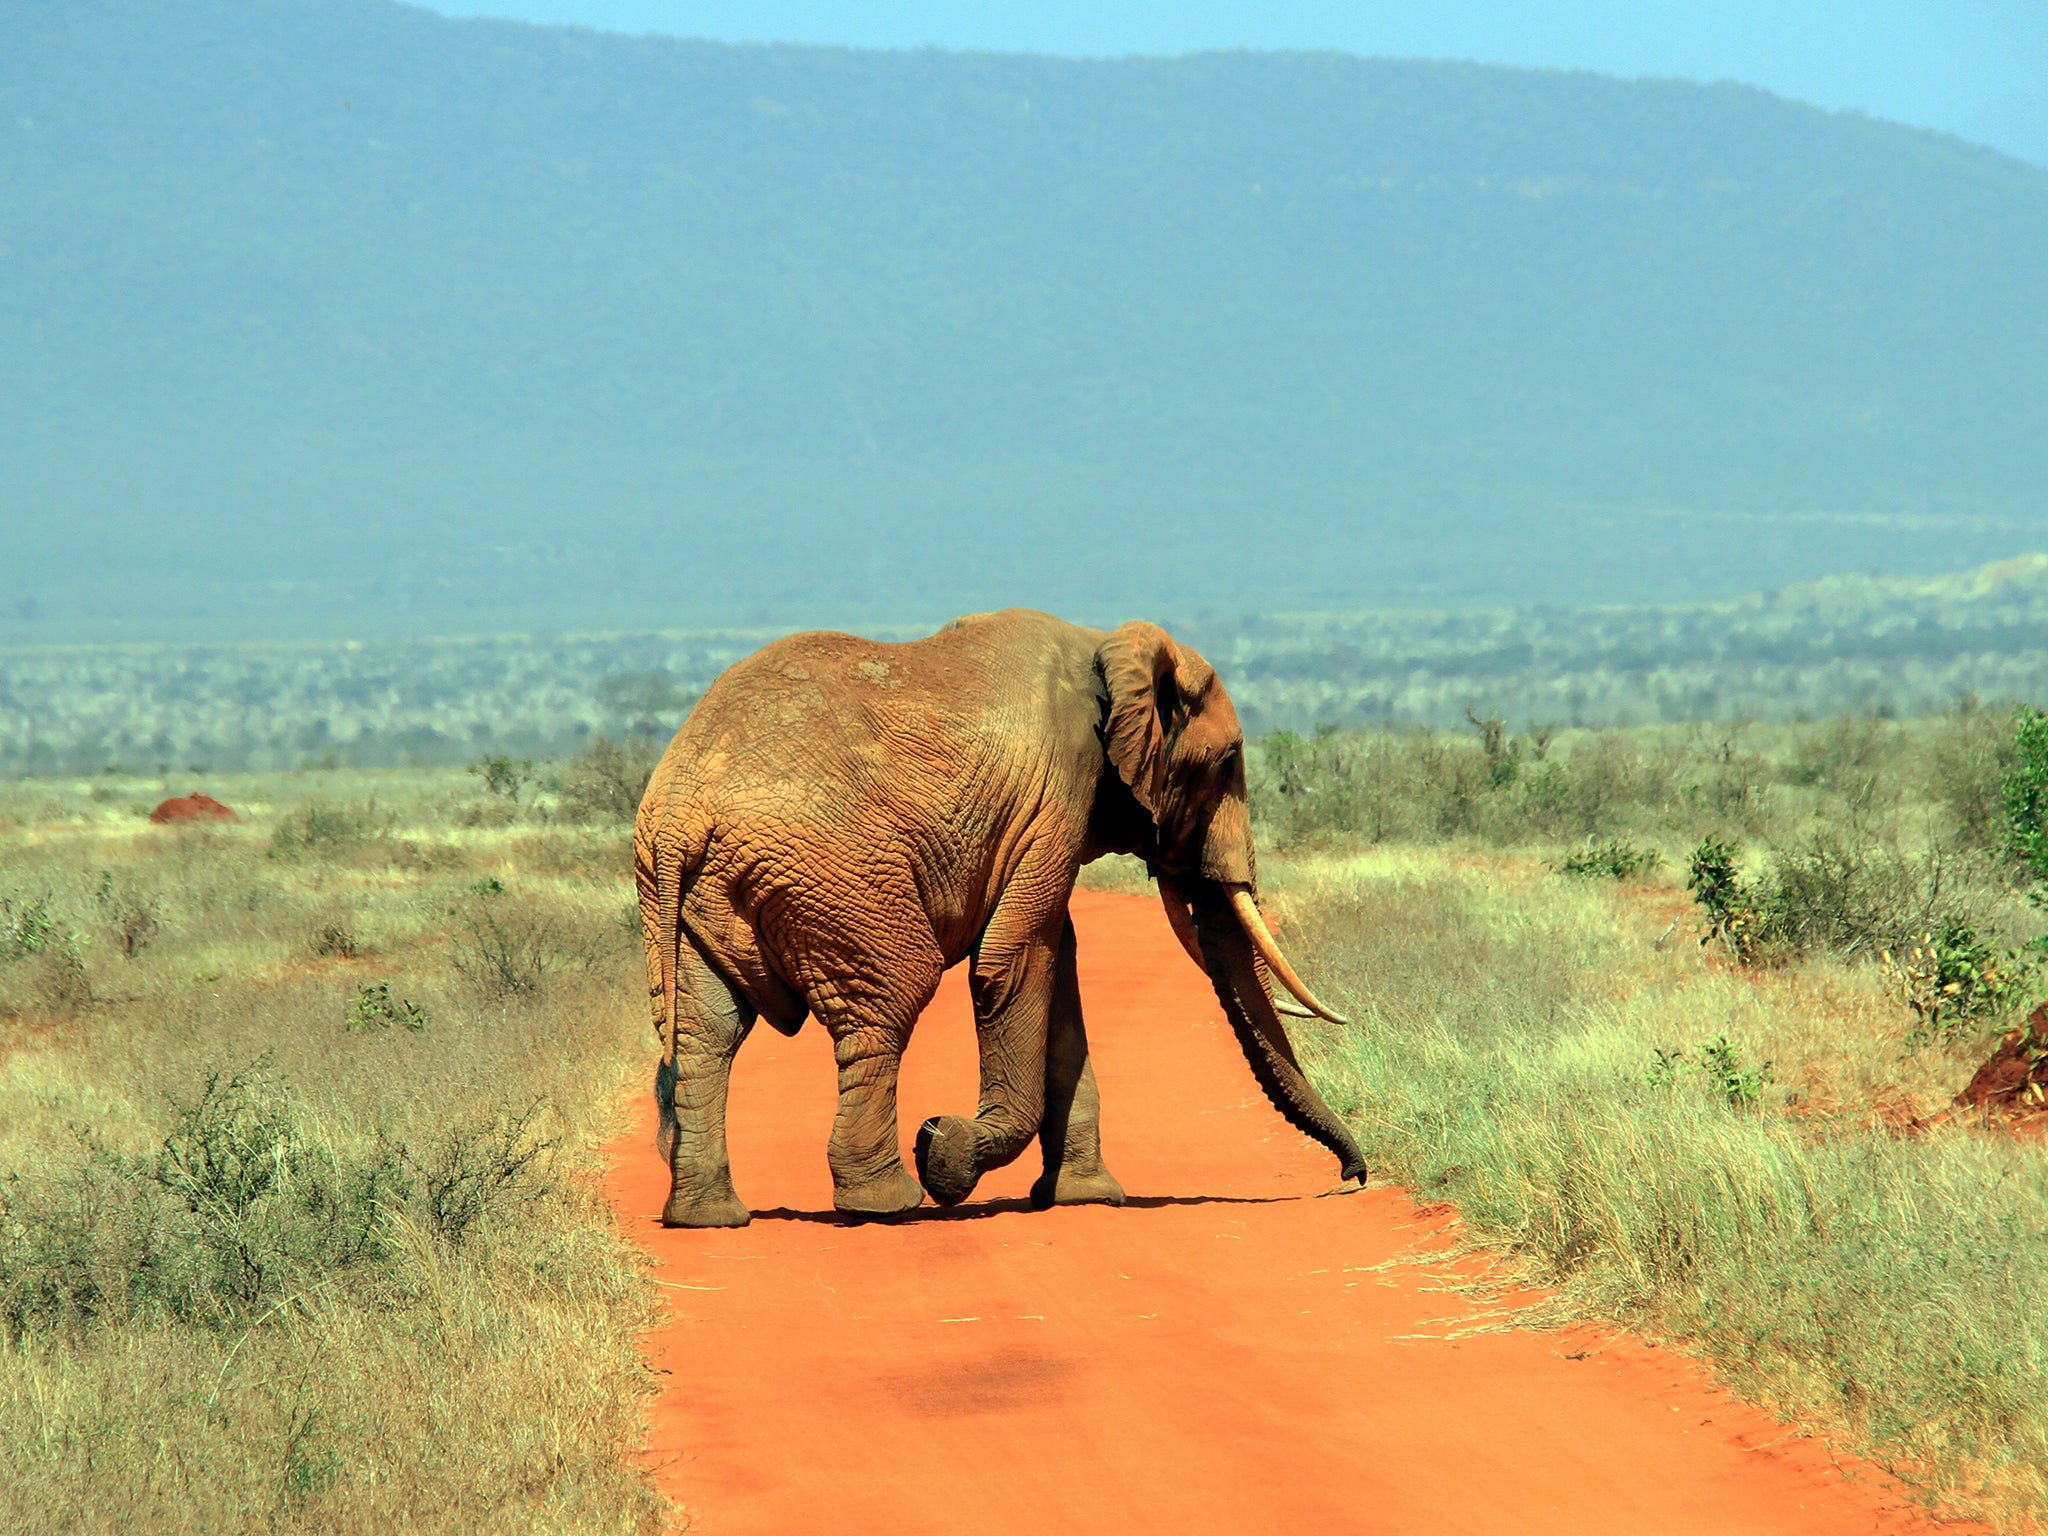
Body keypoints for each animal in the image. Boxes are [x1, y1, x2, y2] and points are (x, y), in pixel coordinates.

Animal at [630, 606, 1368, 1236]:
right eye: (1229, 761)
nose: (1354, 1177)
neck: (1105, 645)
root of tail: (681, 807)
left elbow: (1057, 975)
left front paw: (1082, 1198)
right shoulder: (1059, 792)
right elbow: (1011, 964)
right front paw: (944, 1151)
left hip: (700, 898)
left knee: (707, 1032)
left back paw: (708, 1217)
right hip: (838, 874)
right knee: (887, 1006)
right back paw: (887, 1203)